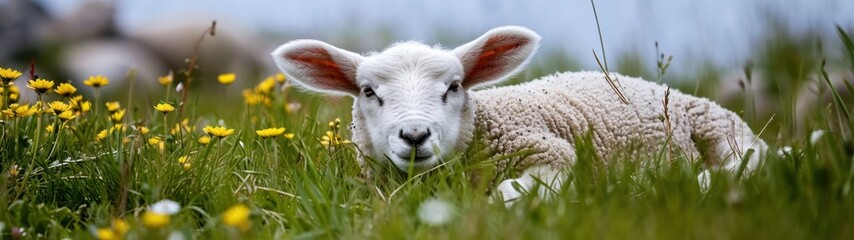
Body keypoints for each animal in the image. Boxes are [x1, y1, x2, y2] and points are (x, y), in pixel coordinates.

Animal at [270, 26, 772, 202]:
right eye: (369, 91)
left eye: (454, 87)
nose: (414, 136)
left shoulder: (551, 152)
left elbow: (514, 192)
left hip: (720, 130)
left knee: (757, 161)